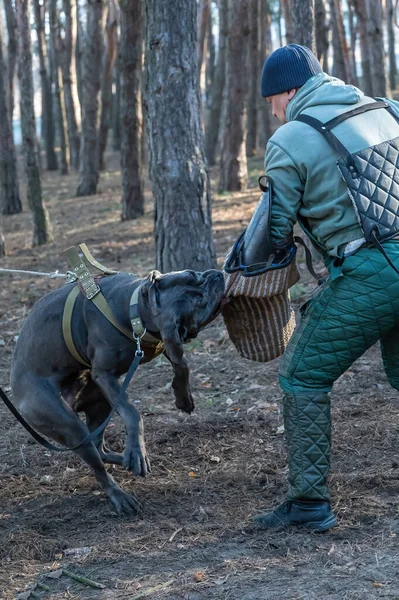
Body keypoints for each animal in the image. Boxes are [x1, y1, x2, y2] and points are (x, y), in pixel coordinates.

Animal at [11, 270, 225, 512]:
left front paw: (183, 398)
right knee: (97, 465)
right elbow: (133, 413)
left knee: (99, 447)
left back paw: (124, 459)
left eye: (193, 273)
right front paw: (138, 450)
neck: (136, 311)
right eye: (199, 301)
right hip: (68, 424)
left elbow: (182, 363)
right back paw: (120, 493)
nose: (216, 274)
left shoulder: (164, 342)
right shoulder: (105, 374)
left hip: (102, 404)